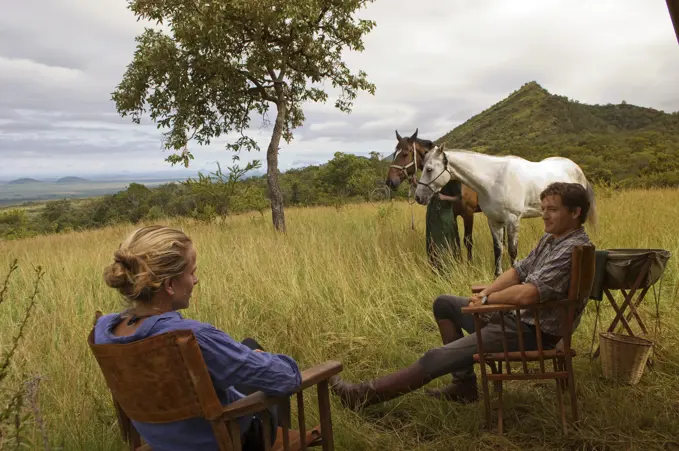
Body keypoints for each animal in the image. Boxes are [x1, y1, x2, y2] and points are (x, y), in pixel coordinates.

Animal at [388, 128, 484, 262]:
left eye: (405, 154)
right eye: (394, 154)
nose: (390, 182)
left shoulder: (468, 213)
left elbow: (468, 241)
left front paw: (470, 264)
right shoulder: (453, 215)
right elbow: (456, 242)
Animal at [414, 146, 600, 278]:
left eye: (429, 169)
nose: (418, 197)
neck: (493, 180)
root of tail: (577, 169)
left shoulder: (512, 220)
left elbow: (512, 250)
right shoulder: (494, 221)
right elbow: (498, 249)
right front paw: (497, 275)